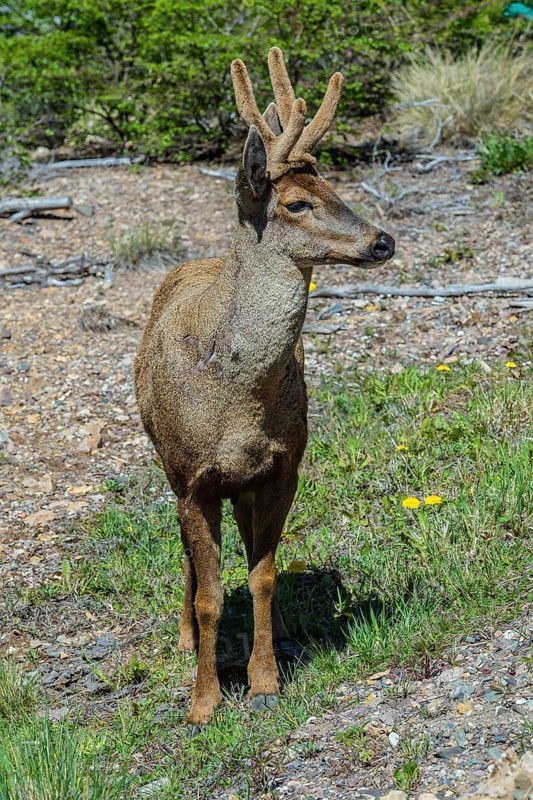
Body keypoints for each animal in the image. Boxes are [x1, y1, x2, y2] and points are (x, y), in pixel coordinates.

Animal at [134, 47, 395, 734]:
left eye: (335, 187)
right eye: (298, 203)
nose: (382, 240)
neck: (236, 402)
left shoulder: (282, 466)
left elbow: (264, 576)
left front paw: (264, 683)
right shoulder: (192, 478)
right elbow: (209, 594)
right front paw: (202, 704)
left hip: (252, 482)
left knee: (256, 551)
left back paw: (277, 635)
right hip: (169, 467)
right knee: (189, 559)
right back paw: (184, 641)